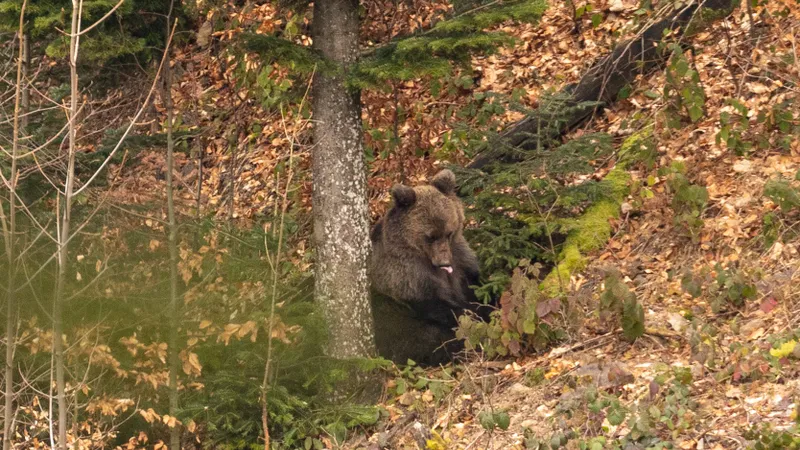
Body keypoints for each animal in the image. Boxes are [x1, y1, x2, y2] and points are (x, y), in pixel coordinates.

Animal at [368, 170, 482, 366]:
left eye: (448, 232)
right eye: (430, 236)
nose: (444, 262)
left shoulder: (459, 257)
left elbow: (473, 284)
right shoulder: (407, 274)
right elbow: (438, 306)